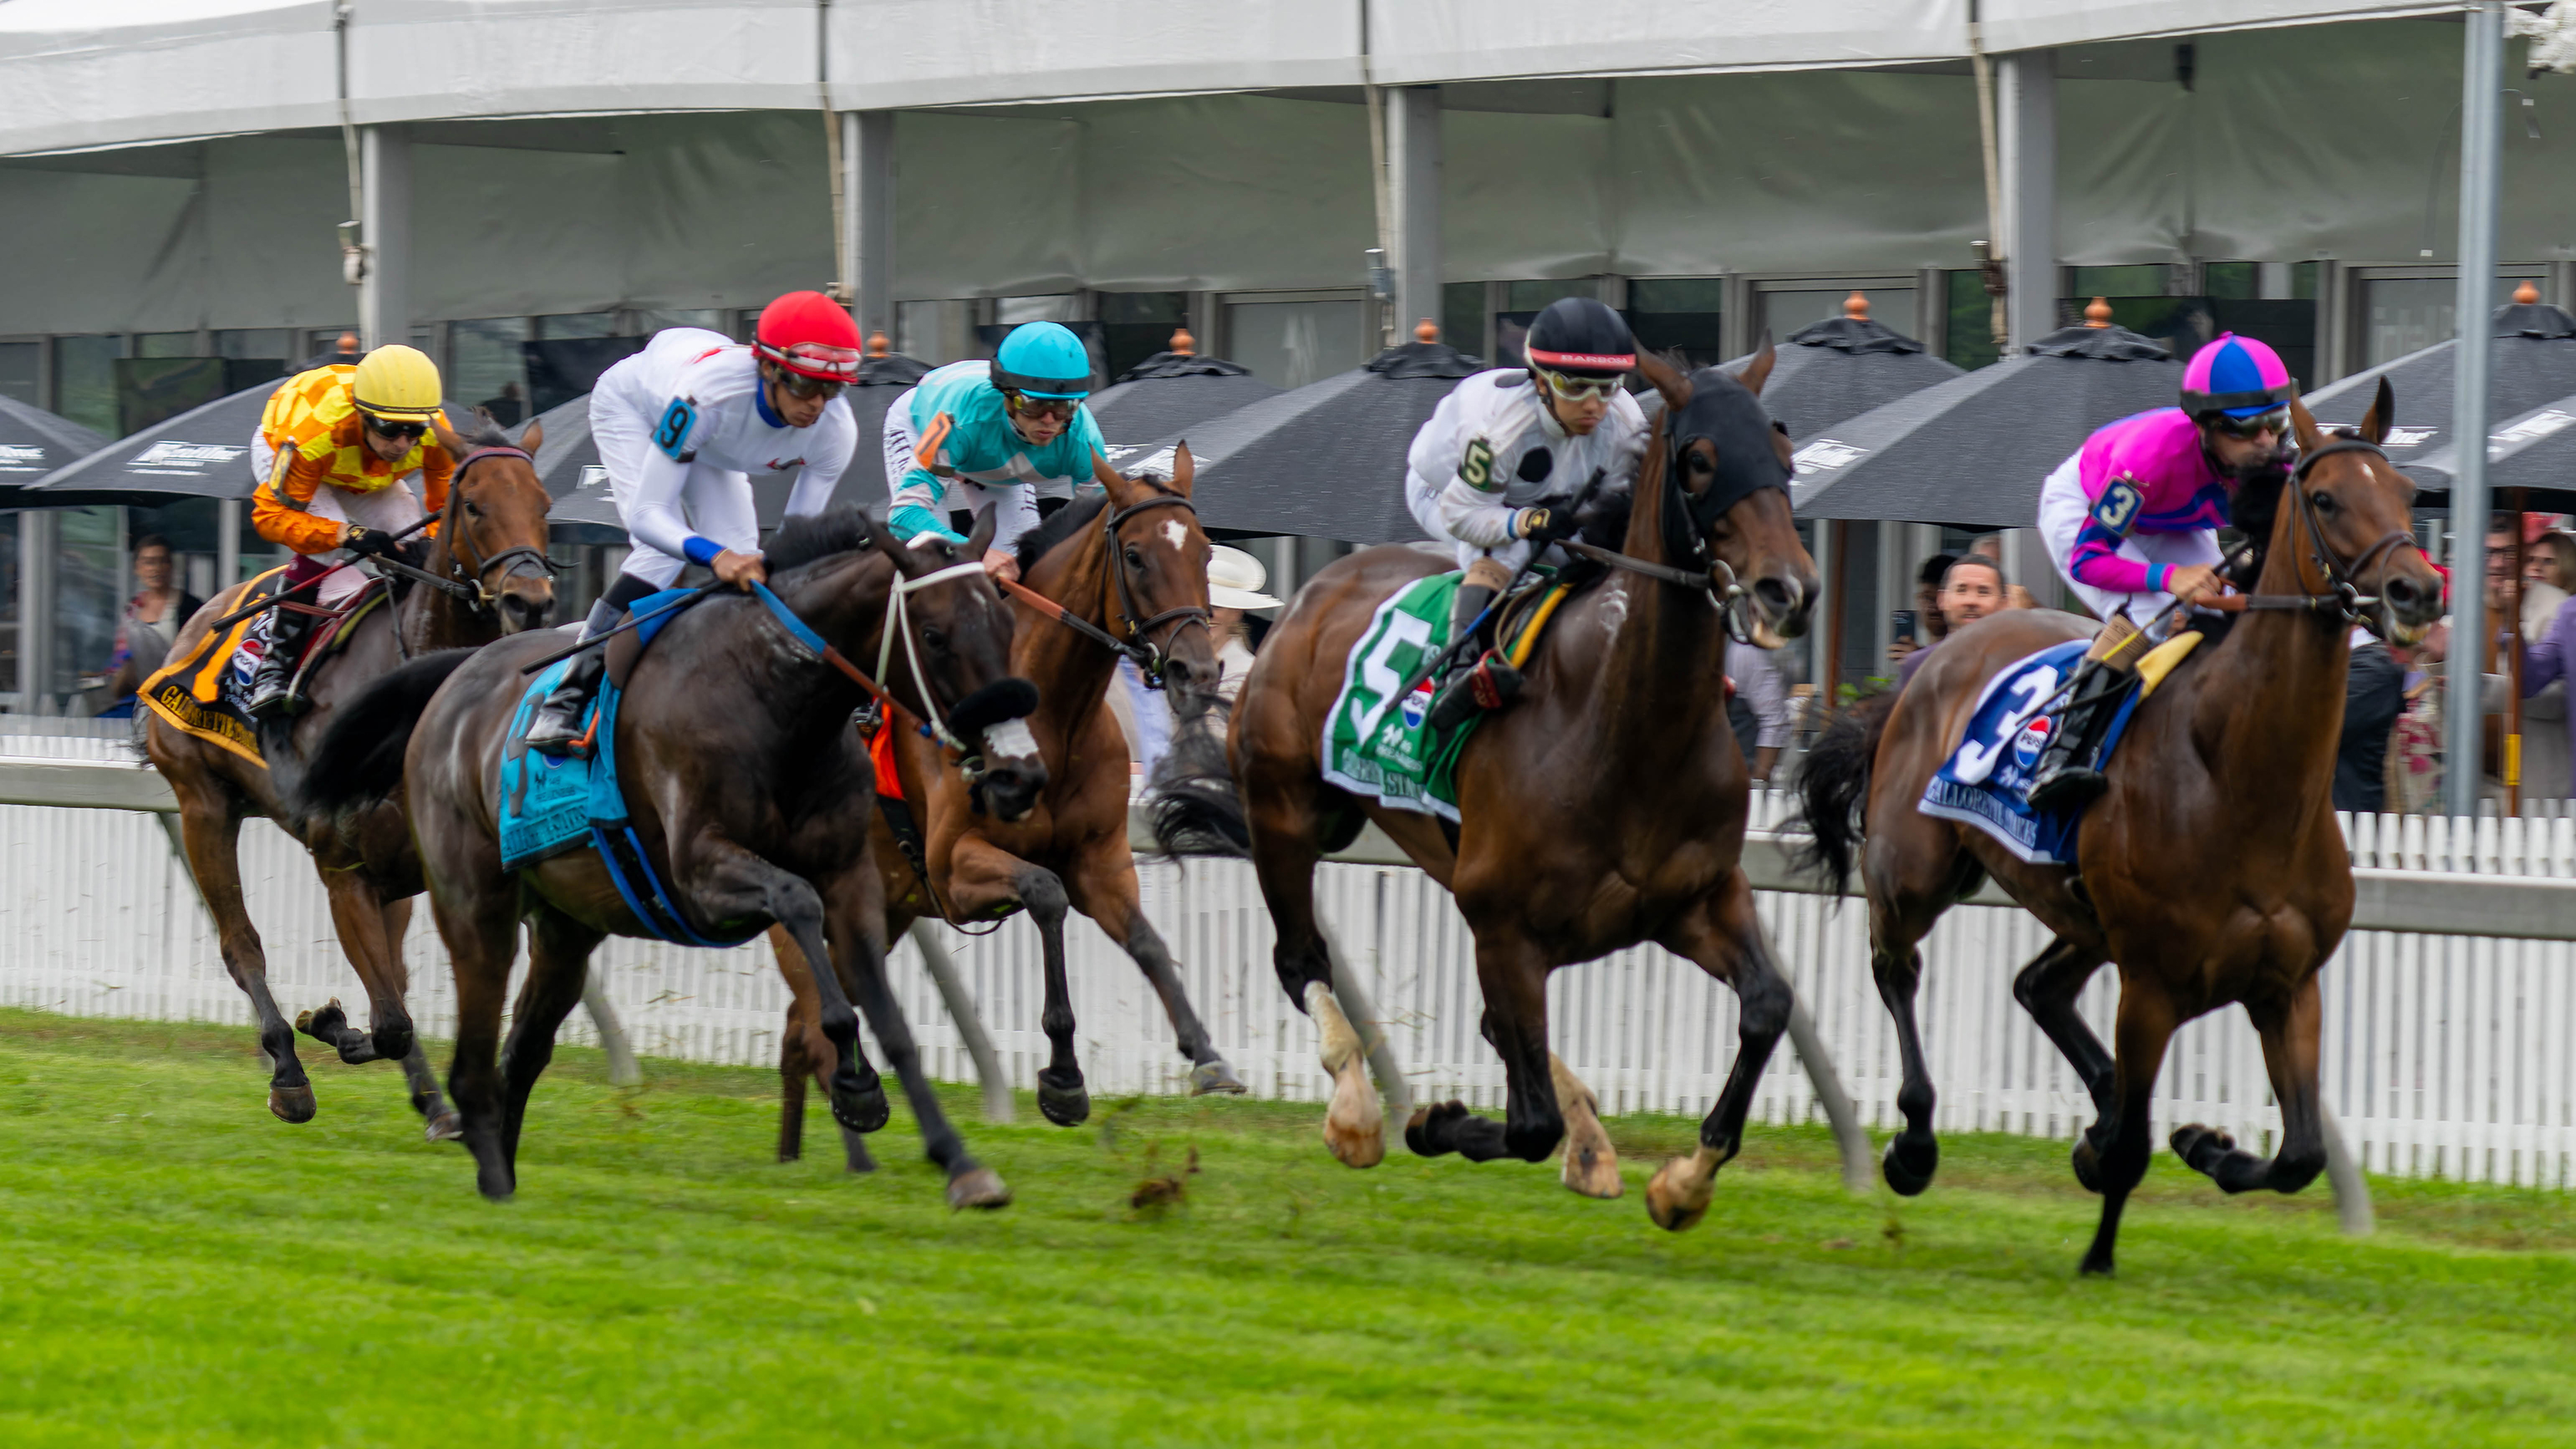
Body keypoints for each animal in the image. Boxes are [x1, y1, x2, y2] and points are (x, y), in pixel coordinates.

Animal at [145, 414, 553, 1137]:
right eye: (476, 507)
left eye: (545, 506)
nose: (529, 601)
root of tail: (193, 623)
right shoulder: (344, 868)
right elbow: (389, 1020)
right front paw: (327, 1028)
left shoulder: (418, 871)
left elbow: (396, 996)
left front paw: (349, 1032)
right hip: (202, 805)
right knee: (241, 945)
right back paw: (288, 1072)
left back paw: (427, 1100)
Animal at [767, 447, 1241, 1173]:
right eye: (1135, 555)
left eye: (1206, 551)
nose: (1197, 670)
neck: (1051, 716)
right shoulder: (955, 868)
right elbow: (1045, 895)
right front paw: (1064, 1080)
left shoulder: (1101, 860)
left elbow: (1148, 943)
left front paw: (1207, 1056)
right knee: (811, 1020)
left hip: (886, 909)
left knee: (805, 1027)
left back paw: (829, 1149)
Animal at [1153, 352, 1834, 1225]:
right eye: (1702, 461)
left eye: (1785, 459)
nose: (1790, 591)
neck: (1627, 727)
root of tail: (1312, 593)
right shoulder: (1504, 927)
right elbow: (1528, 1120)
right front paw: (1431, 1122)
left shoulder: (1697, 899)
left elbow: (1768, 1006)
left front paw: (1684, 1181)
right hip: (1285, 813)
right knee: (1301, 959)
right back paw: (1357, 1114)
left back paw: (1588, 1145)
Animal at [1793, 389, 2431, 1281]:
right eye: (2328, 498)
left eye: (2407, 494)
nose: (2418, 589)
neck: (2244, 782)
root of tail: (1931, 658)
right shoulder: (2153, 985)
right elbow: (2135, 1146)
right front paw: (2099, 1252)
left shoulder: (2288, 984)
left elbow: (2301, 1154)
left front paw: (2203, 1147)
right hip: (1917, 872)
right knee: (1897, 968)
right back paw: (1916, 1143)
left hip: (2083, 916)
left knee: (2039, 988)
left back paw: (2091, 1121)